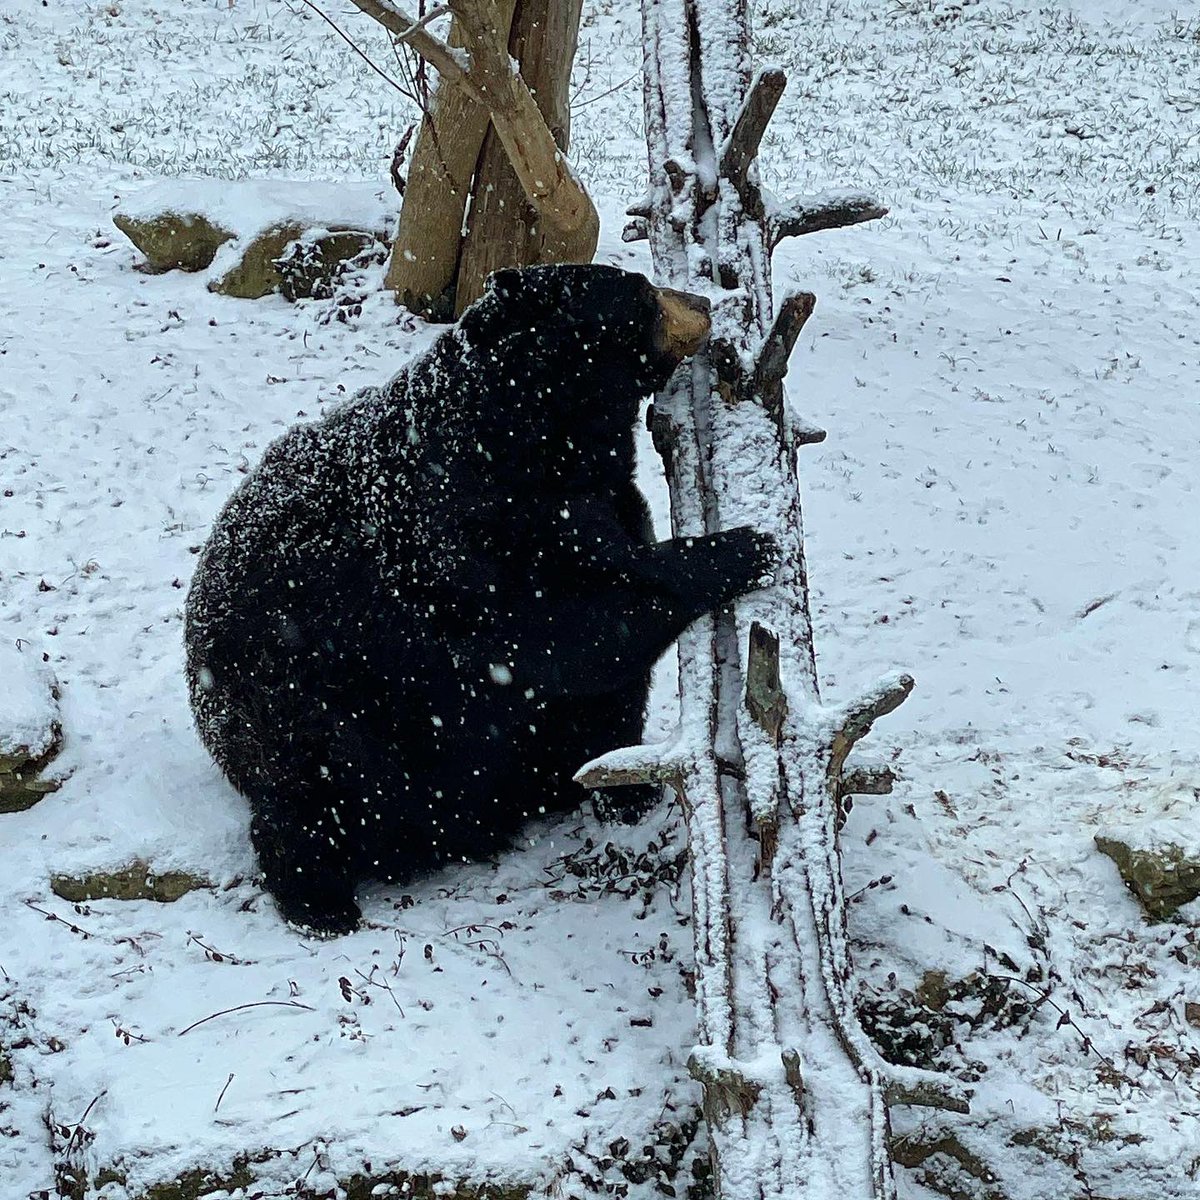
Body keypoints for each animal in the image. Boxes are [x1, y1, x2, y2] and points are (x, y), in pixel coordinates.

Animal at [185, 264, 777, 935]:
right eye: (640, 294)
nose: (702, 302)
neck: (537, 445)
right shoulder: (463, 554)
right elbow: (567, 634)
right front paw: (743, 546)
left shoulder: (593, 498)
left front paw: (630, 786)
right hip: (304, 721)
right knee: (305, 807)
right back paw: (323, 903)